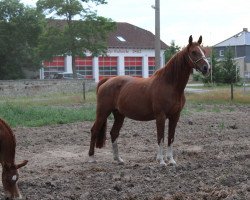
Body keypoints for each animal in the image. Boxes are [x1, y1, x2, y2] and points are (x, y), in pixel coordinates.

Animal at [89, 35, 210, 166]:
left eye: (204, 51)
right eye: (193, 52)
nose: (206, 68)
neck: (170, 84)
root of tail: (106, 81)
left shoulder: (175, 116)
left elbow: (171, 137)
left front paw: (171, 160)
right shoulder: (160, 116)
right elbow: (160, 137)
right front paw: (161, 161)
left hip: (119, 114)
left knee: (114, 133)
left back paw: (118, 159)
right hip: (103, 112)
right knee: (94, 130)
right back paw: (91, 158)